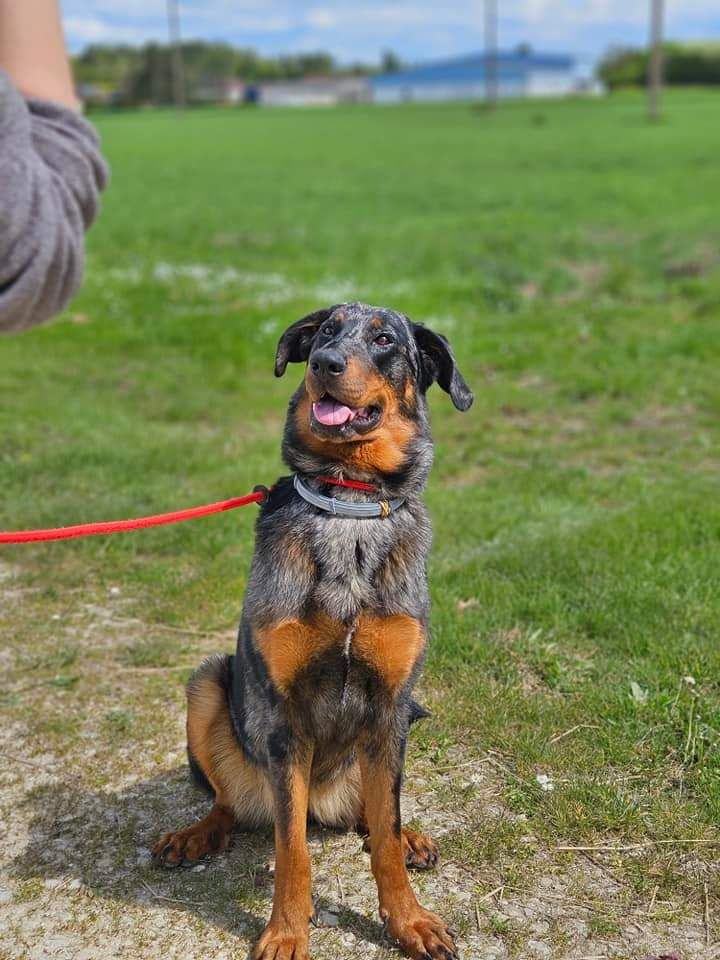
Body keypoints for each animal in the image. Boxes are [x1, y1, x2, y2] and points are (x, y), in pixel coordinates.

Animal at [152, 302, 472, 960]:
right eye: (326, 330)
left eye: (384, 339)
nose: (324, 364)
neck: (346, 500)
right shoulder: (285, 718)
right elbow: (291, 847)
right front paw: (285, 932)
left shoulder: (389, 706)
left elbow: (385, 832)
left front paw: (409, 920)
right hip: (208, 687)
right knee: (231, 802)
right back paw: (196, 834)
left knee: (374, 817)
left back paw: (407, 837)